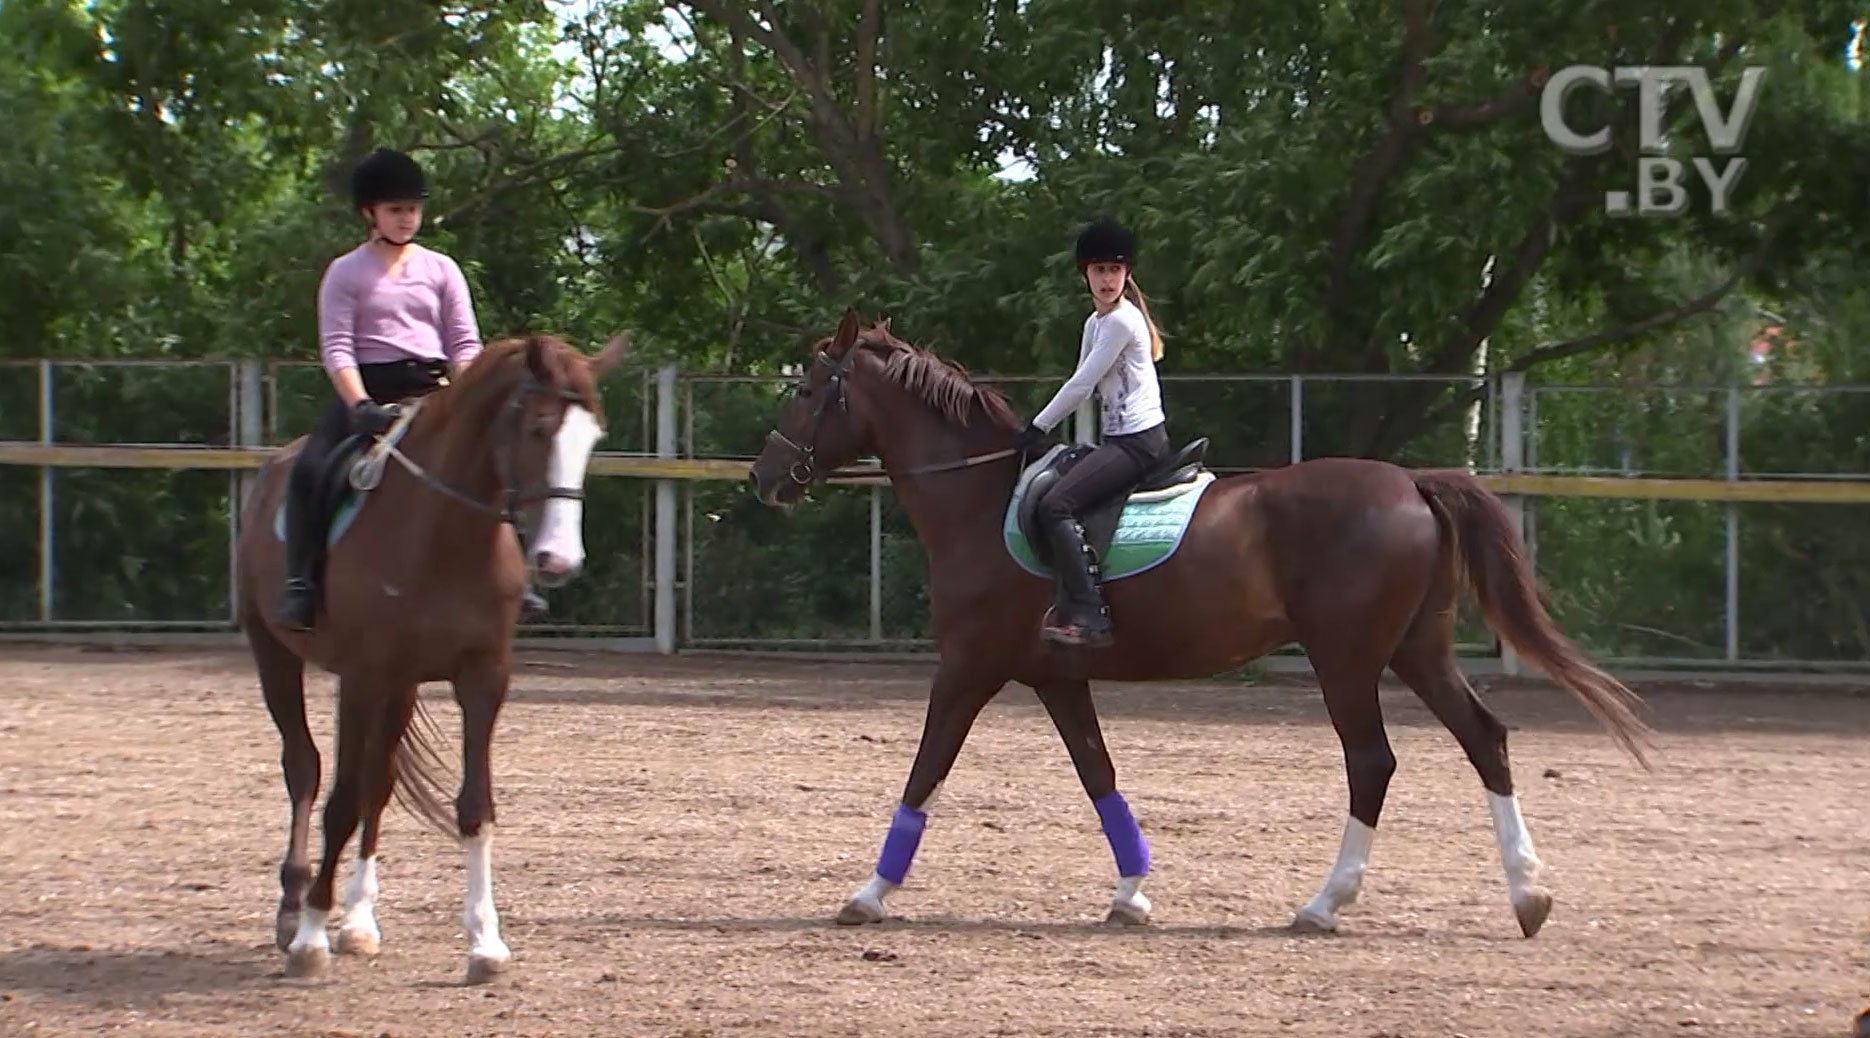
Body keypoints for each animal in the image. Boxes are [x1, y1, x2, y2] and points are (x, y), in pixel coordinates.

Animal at [744, 312, 1653, 938]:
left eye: (805, 388)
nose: (763, 478)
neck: (978, 496)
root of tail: (1411, 484)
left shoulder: (968, 667)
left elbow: (924, 773)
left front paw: (868, 893)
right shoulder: (1055, 676)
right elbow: (1099, 775)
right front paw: (1131, 895)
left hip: (1347, 658)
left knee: (1373, 762)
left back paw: (1325, 904)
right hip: (1416, 649)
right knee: (1485, 739)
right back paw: (1529, 895)